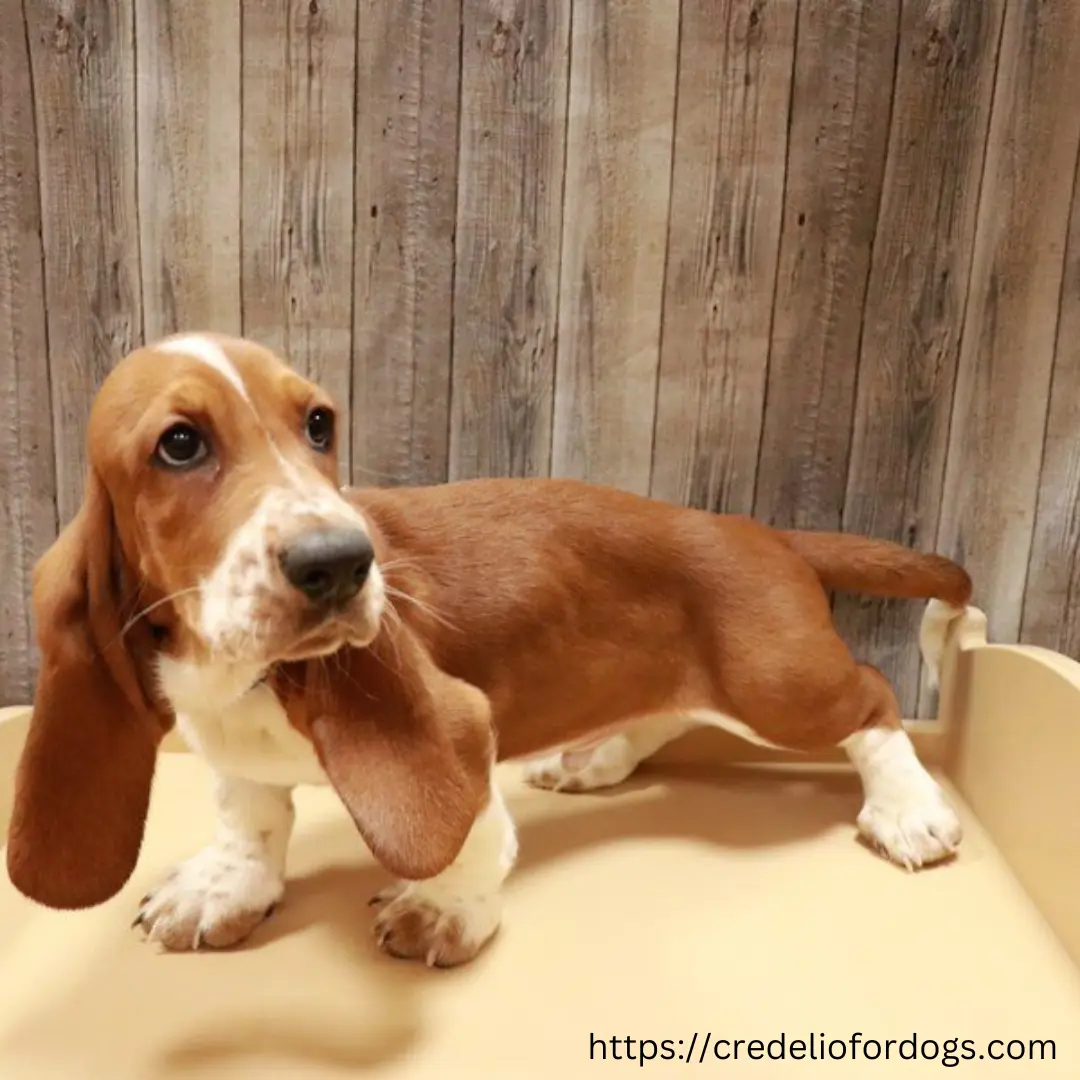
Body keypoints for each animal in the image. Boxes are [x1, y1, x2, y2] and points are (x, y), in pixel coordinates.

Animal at [6, 332, 972, 967]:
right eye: (179, 444)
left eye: (319, 424)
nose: (342, 562)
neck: (247, 674)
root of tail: (766, 534)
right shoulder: (231, 755)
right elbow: (250, 820)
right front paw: (225, 888)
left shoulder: (463, 733)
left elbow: (469, 835)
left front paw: (442, 912)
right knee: (667, 714)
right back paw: (593, 763)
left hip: (777, 684)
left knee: (872, 697)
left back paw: (907, 810)